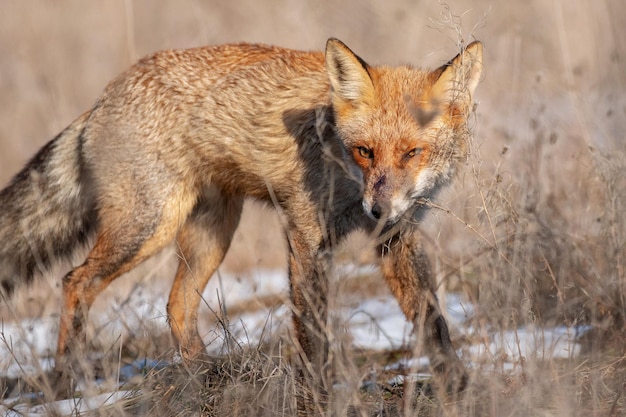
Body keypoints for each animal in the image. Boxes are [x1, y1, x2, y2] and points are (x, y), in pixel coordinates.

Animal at [0, 37, 482, 392]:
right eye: (365, 151)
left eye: (412, 153)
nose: (378, 210)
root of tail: (102, 98)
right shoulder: (305, 233)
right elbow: (312, 330)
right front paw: (318, 391)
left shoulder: (397, 239)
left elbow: (433, 322)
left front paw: (456, 383)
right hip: (147, 229)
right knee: (74, 282)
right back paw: (64, 382)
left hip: (211, 236)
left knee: (176, 304)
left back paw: (205, 376)